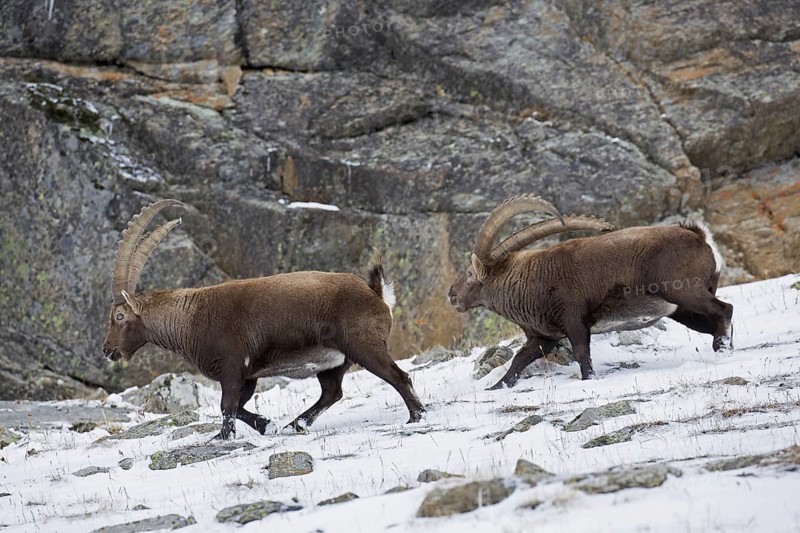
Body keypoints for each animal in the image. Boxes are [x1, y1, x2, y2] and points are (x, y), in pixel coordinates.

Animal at [103, 199, 425, 439]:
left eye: (119, 316)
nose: (107, 350)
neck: (189, 318)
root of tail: (376, 293)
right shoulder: (248, 375)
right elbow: (237, 407)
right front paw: (264, 424)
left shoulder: (232, 368)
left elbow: (227, 406)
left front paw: (224, 436)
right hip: (334, 361)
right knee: (332, 392)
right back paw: (295, 425)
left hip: (365, 346)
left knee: (399, 376)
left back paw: (415, 417)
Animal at [448, 194, 733, 388]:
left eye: (470, 273)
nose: (452, 294)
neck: (528, 281)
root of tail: (700, 237)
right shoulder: (544, 337)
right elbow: (518, 360)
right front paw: (496, 387)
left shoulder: (575, 321)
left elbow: (582, 355)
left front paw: (588, 380)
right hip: (682, 310)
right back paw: (723, 346)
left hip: (685, 292)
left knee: (725, 309)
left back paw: (721, 349)